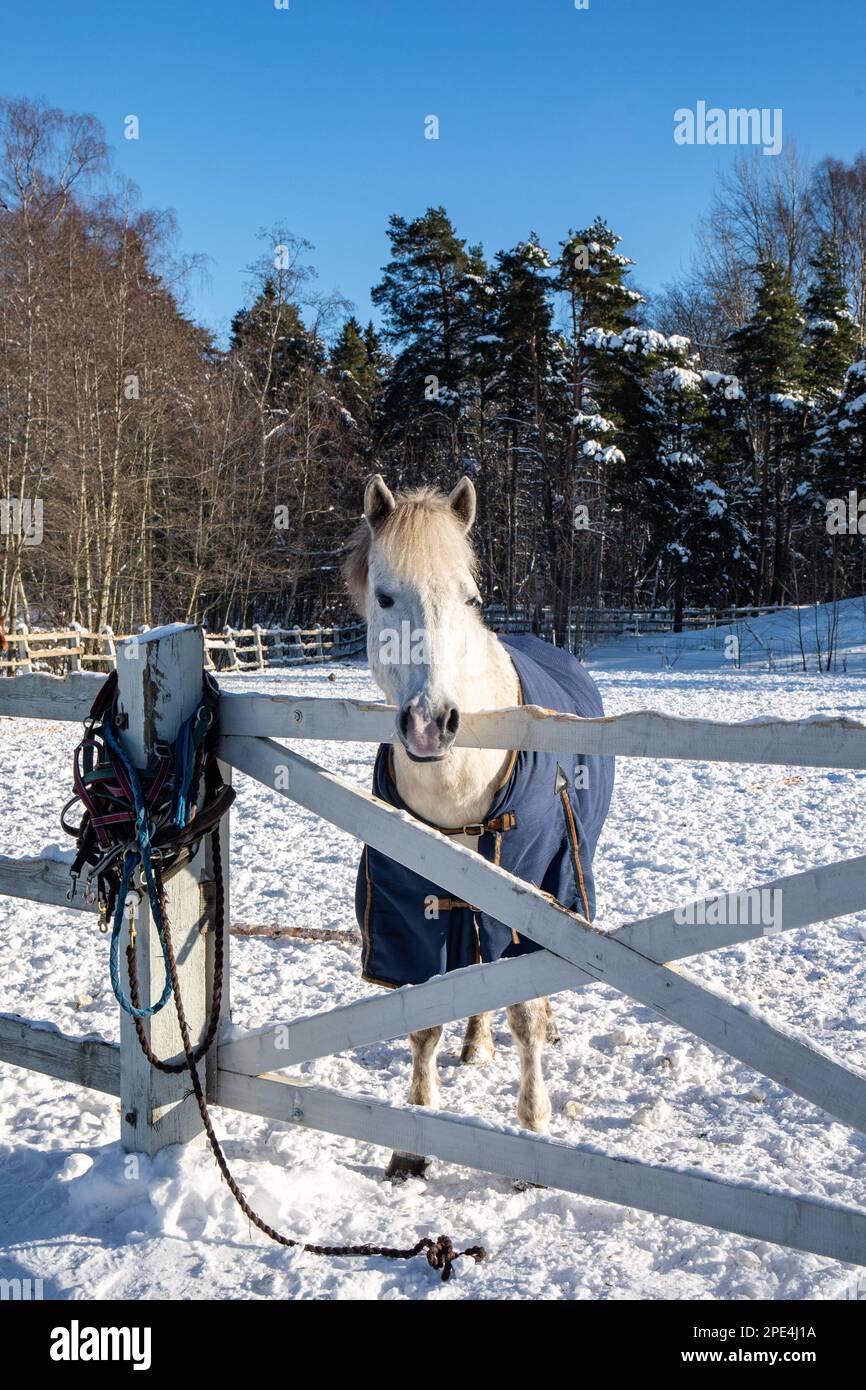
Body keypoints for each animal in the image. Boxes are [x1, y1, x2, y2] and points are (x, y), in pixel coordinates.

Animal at [341, 475, 553, 1173]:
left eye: (470, 597)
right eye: (385, 596)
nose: (432, 725)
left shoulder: (528, 893)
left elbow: (525, 1010)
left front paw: (534, 1125)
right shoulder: (408, 906)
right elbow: (424, 1017)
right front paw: (414, 1142)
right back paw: (474, 1044)